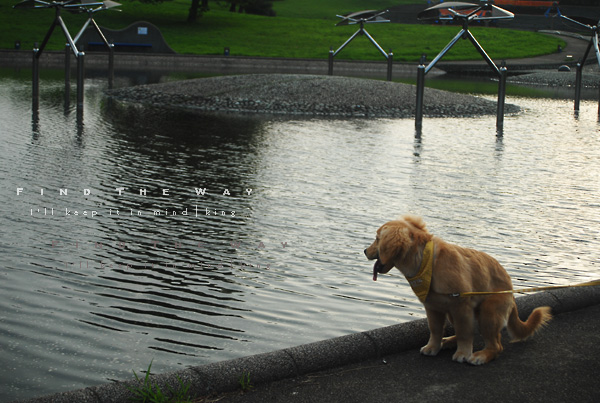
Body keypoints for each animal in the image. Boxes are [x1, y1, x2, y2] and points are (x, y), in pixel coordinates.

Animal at [364, 216, 552, 368]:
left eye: (377, 239)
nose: (364, 251)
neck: (427, 263)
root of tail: (511, 291)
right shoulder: (433, 307)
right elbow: (435, 329)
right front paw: (433, 346)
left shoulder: (461, 306)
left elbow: (464, 333)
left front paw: (463, 353)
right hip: (452, 312)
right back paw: (448, 341)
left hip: (488, 311)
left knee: (496, 345)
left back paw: (481, 356)